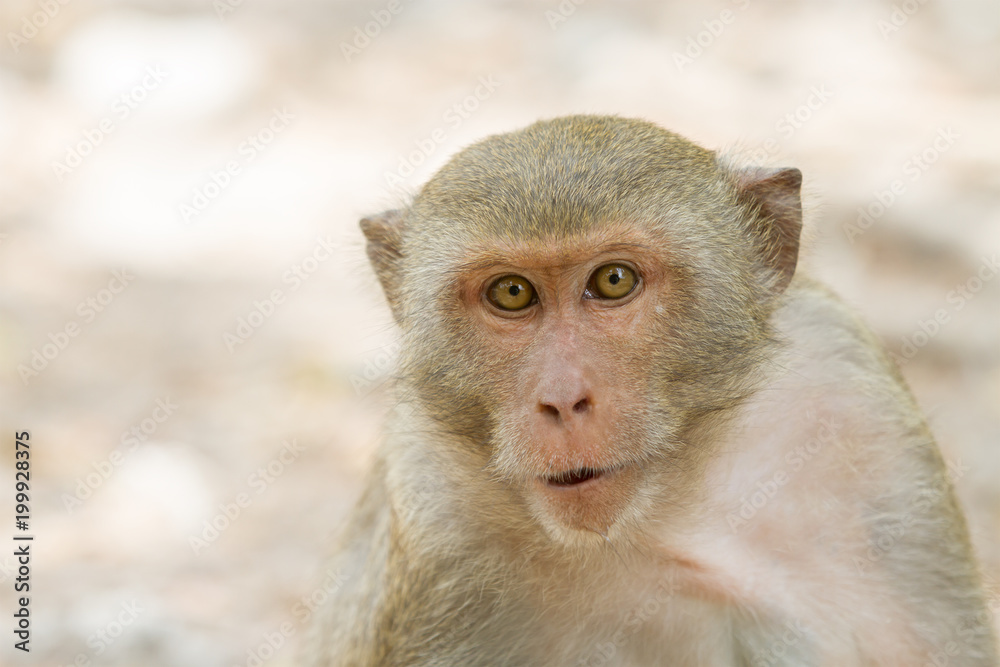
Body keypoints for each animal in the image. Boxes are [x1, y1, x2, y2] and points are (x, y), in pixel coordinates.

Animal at [300, 117, 996, 664]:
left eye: (613, 280)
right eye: (512, 292)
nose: (563, 399)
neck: (659, 517)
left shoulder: (860, 407)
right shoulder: (438, 518)